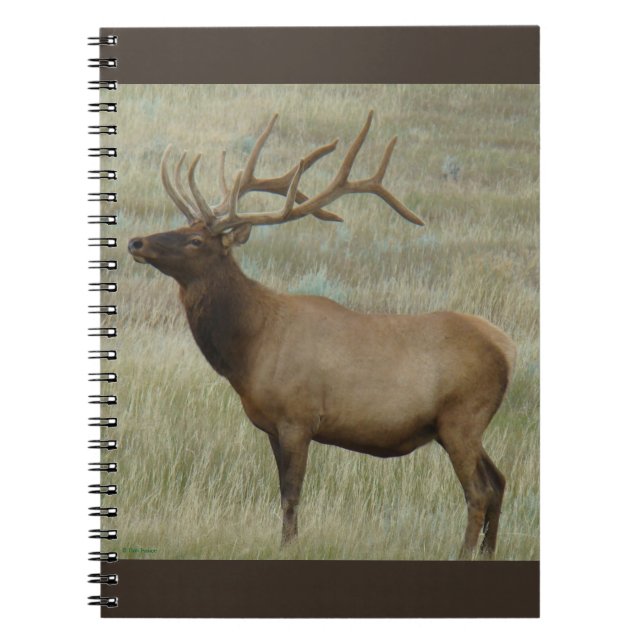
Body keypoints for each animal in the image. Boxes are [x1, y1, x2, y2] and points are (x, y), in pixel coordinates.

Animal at [128, 111, 516, 558]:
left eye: (195, 240)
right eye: (181, 224)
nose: (136, 242)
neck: (248, 350)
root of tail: (509, 349)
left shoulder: (298, 417)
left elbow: (291, 494)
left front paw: (288, 546)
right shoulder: (271, 425)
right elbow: (283, 491)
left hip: (463, 417)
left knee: (479, 491)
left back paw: (464, 552)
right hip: (461, 426)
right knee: (499, 481)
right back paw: (488, 552)